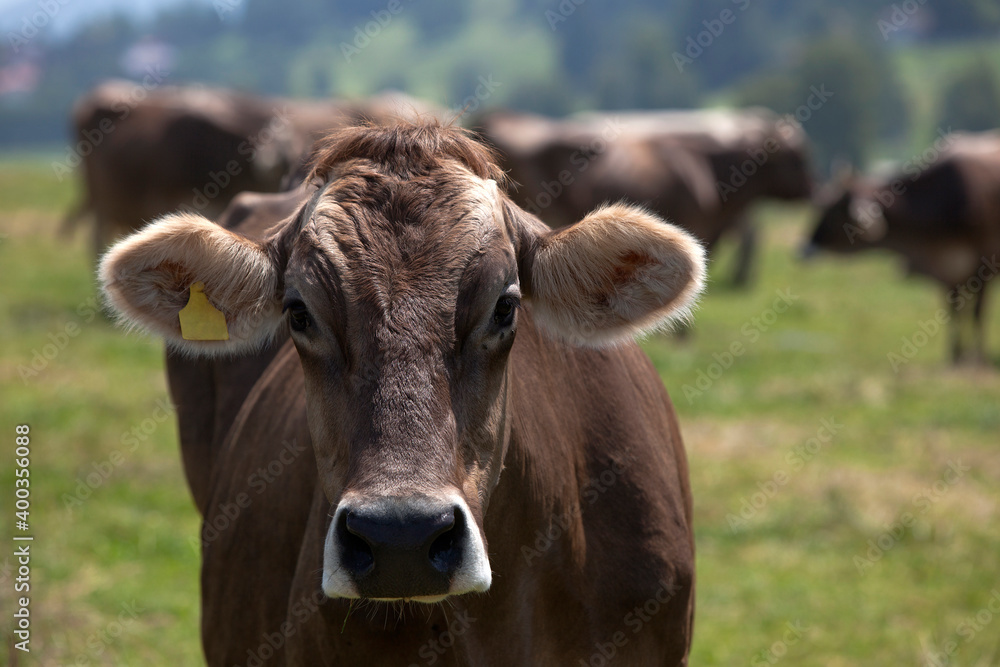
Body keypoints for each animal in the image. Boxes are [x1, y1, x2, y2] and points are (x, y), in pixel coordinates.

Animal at [804, 132, 1000, 366]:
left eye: (834, 211)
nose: (803, 249)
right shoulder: (948, 271)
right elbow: (954, 312)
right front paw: (955, 356)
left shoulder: (983, 264)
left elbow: (978, 313)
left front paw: (978, 359)